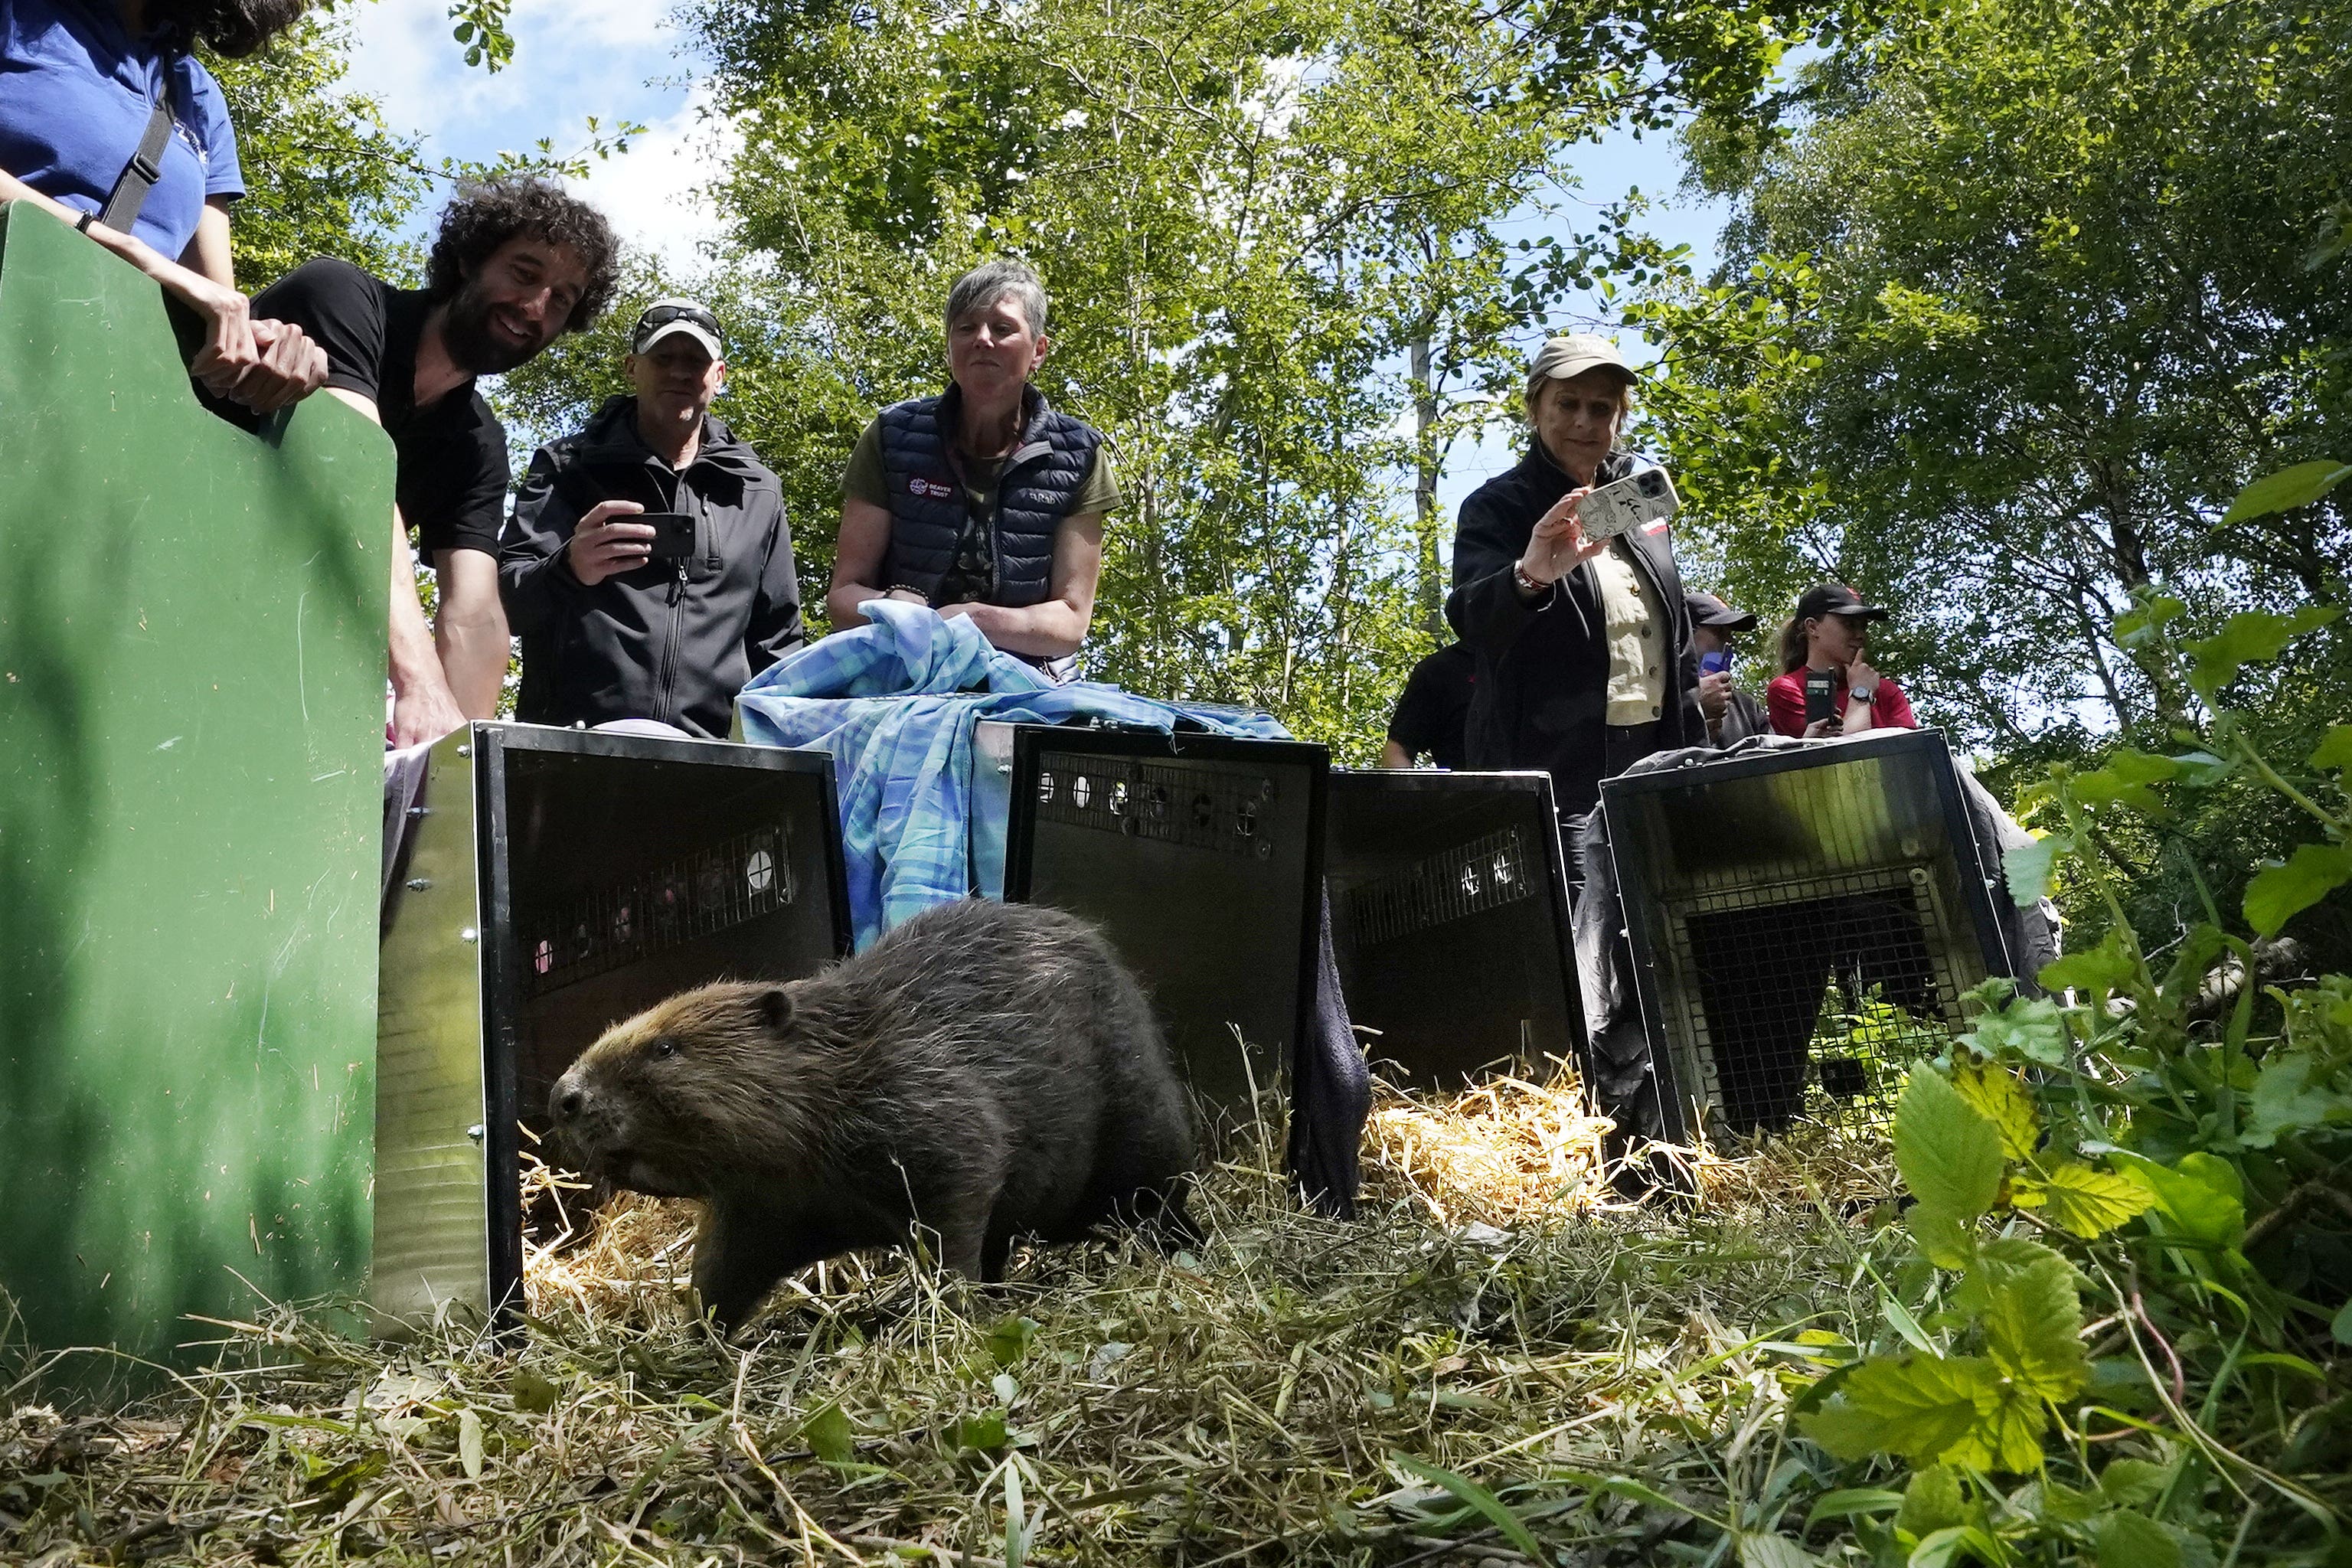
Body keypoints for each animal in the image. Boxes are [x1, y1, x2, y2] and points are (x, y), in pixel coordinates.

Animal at [547, 903, 1204, 1335]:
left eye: (666, 1048)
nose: (563, 1097)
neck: (842, 1067)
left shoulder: (927, 1107)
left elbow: (961, 1196)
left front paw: (946, 1315)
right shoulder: (761, 1205)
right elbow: (720, 1271)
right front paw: (691, 1343)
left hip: (1143, 1128)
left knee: (1160, 1196)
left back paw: (1188, 1246)